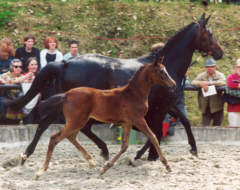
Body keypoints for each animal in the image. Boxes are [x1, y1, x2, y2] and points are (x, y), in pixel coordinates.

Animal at [34, 56, 175, 180]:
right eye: (161, 71)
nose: (173, 85)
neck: (133, 94)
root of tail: (66, 95)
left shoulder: (127, 123)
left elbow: (125, 146)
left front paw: (105, 168)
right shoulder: (138, 119)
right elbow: (153, 137)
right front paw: (167, 165)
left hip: (77, 122)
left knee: (71, 137)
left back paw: (91, 161)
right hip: (76, 121)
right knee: (55, 138)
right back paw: (40, 172)